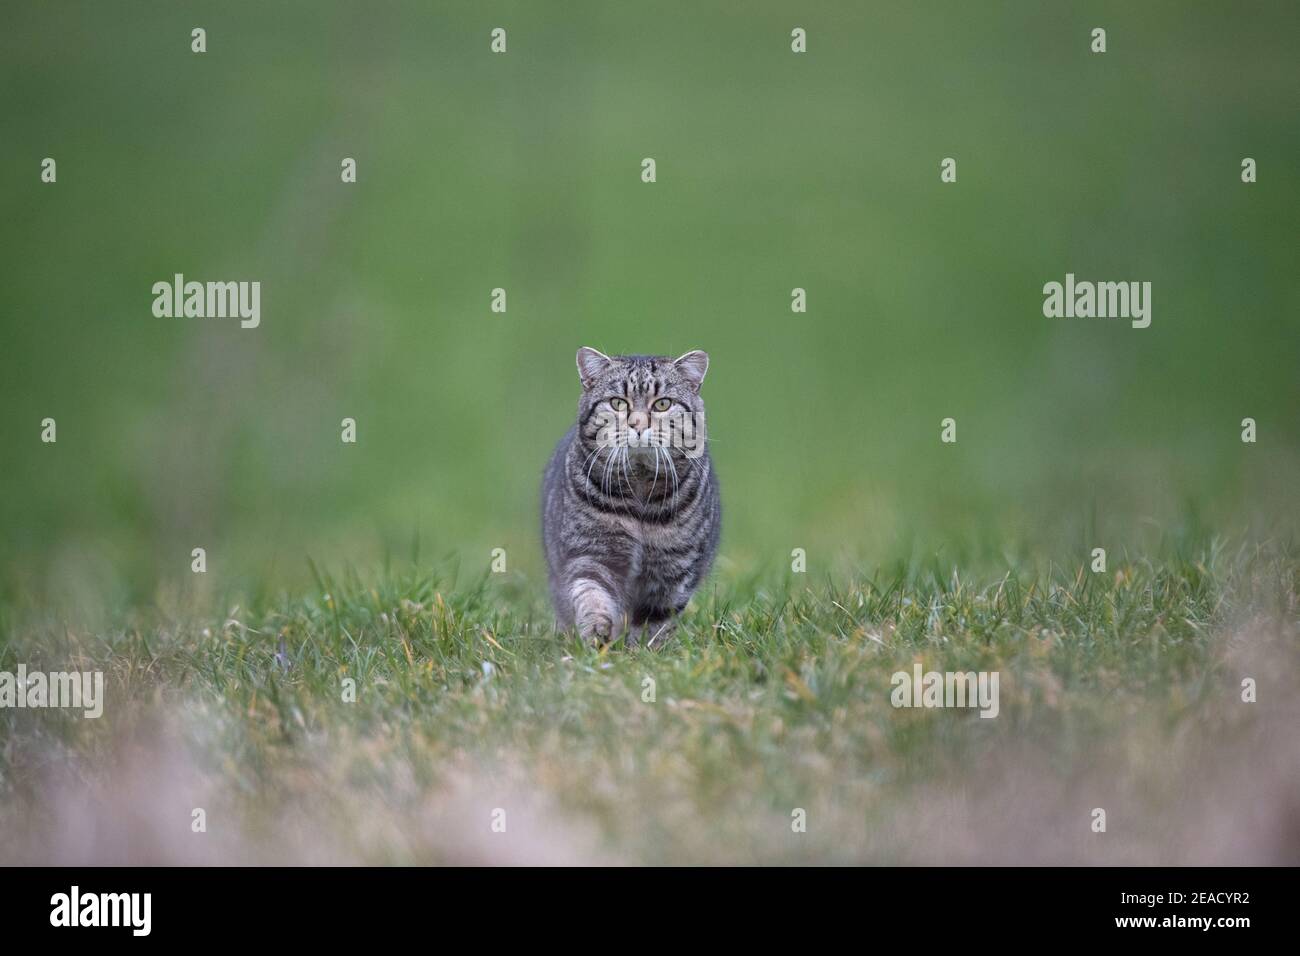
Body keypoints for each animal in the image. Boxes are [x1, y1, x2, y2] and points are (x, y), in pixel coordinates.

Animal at [538, 348, 722, 647]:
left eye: (662, 404)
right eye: (617, 403)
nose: (637, 424)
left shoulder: (673, 570)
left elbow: (653, 620)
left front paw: (643, 651)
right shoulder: (590, 554)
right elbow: (592, 595)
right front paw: (597, 632)